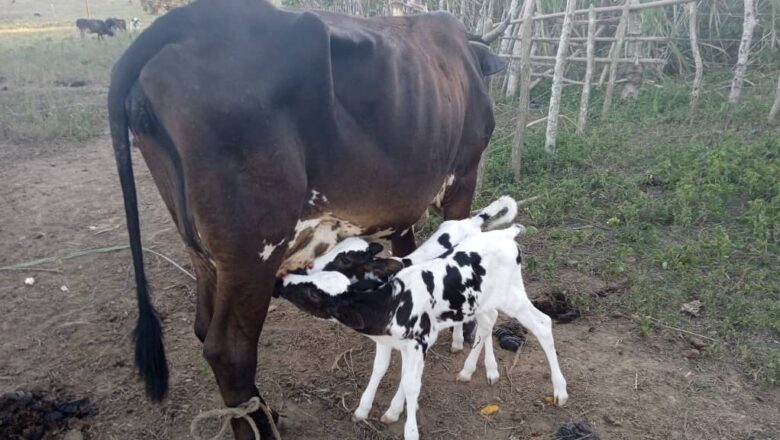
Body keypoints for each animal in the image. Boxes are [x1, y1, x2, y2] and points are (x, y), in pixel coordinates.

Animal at [109, 0, 508, 436]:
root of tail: (185, 20)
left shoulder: (406, 205)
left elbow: (412, 257)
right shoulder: (464, 177)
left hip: (203, 252)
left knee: (203, 326)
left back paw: (270, 414)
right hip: (253, 251)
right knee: (229, 350)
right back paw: (260, 428)